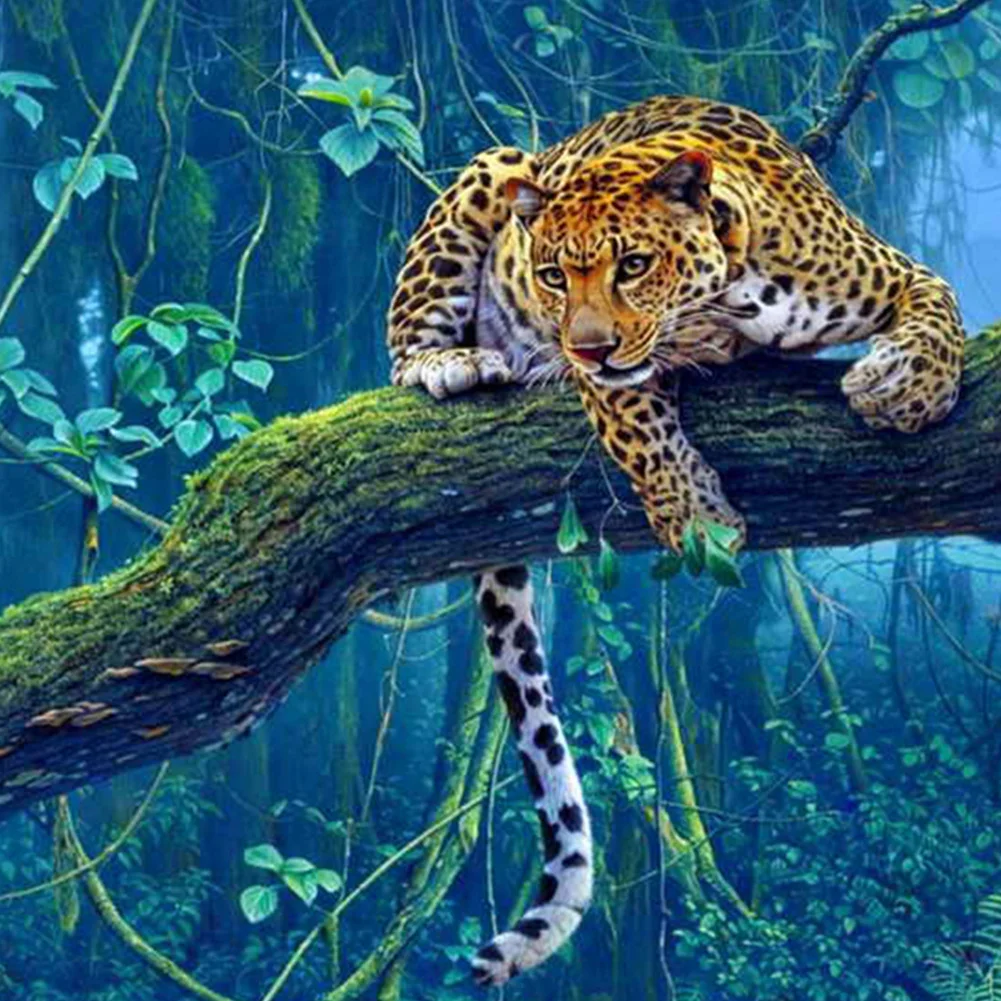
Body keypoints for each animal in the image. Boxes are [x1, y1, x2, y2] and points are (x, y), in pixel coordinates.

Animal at [386, 95, 965, 988]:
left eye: (631, 264)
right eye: (550, 275)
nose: (582, 343)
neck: (731, 295)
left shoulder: (888, 269)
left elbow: (939, 301)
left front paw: (906, 390)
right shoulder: (607, 379)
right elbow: (637, 423)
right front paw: (696, 516)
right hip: (492, 166)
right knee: (400, 346)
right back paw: (450, 362)